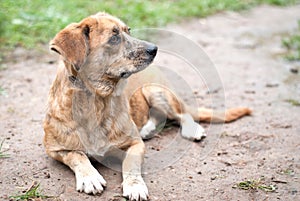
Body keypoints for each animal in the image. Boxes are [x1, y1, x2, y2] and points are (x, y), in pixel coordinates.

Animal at [43, 12, 251, 201]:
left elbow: (130, 165)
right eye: (114, 38)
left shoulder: (135, 145)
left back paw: (191, 129)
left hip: (156, 91)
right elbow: (78, 156)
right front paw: (90, 177)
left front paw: (134, 186)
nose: (155, 49)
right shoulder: (56, 150)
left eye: (129, 30)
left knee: (182, 114)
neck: (97, 101)